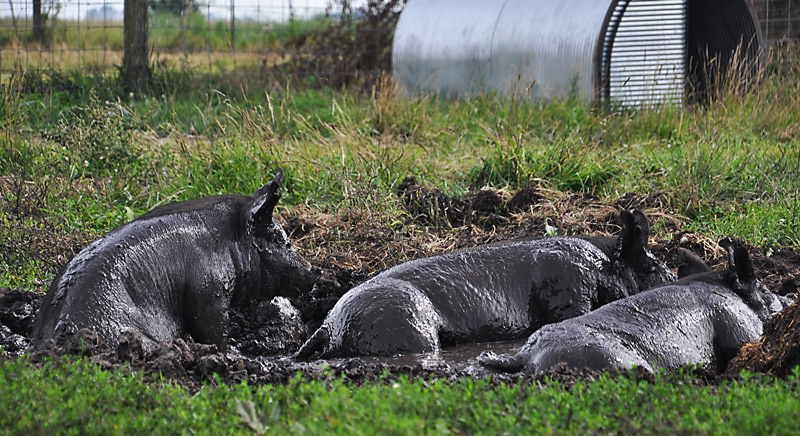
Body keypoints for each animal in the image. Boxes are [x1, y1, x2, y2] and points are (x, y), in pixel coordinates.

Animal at [294, 210, 676, 359]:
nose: (674, 278)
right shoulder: (566, 285)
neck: (601, 264)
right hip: (403, 321)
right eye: (652, 268)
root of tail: (328, 325)